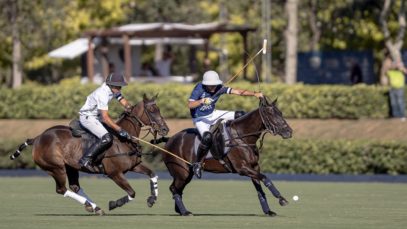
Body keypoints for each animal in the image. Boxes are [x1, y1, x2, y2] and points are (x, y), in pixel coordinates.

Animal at [9, 94, 169, 215]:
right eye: (151, 110)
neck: (124, 139)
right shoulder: (114, 173)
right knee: (62, 189)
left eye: (159, 109)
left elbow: (153, 174)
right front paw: (114, 203)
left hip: (70, 167)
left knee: (74, 187)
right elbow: (132, 192)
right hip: (56, 167)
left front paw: (152, 199)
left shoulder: (134, 166)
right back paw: (92, 205)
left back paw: (94, 207)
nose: (165, 129)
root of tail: (37, 138)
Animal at [163, 96, 294, 216]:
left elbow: (260, 189)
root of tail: (170, 139)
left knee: (177, 189)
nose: (289, 132)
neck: (242, 137)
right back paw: (184, 211)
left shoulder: (254, 167)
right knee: (174, 188)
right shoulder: (242, 168)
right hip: (181, 172)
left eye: (280, 113)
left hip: (186, 173)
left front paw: (268, 211)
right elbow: (265, 178)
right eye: (271, 114)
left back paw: (180, 210)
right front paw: (282, 199)